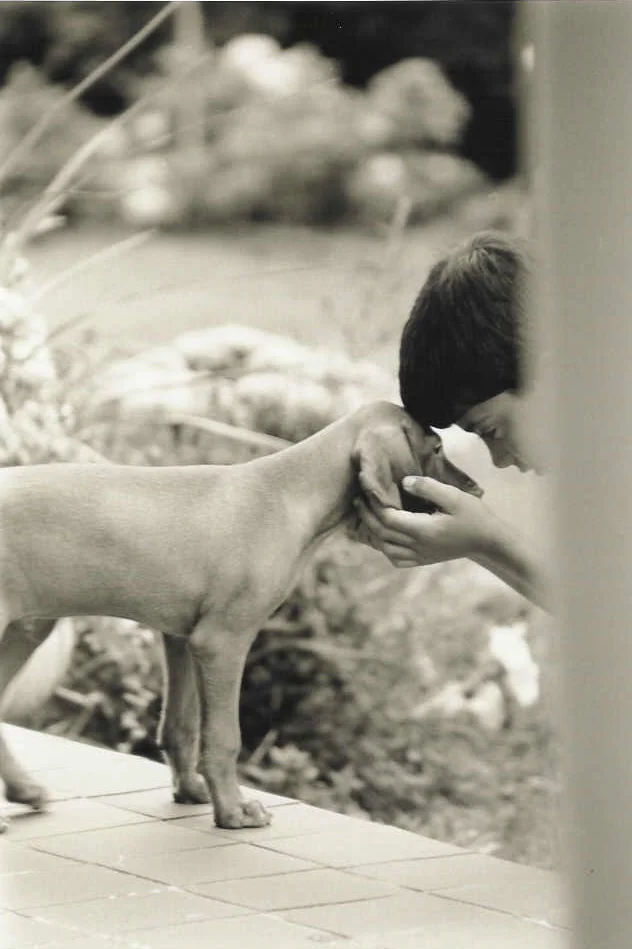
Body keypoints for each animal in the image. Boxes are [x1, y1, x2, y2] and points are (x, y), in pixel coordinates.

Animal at [0, 401, 481, 829]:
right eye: (437, 447)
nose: (477, 491)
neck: (289, 493)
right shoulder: (222, 641)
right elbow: (224, 737)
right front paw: (232, 811)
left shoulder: (181, 638)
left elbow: (180, 726)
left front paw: (190, 790)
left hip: (26, 629)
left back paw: (24, 790)